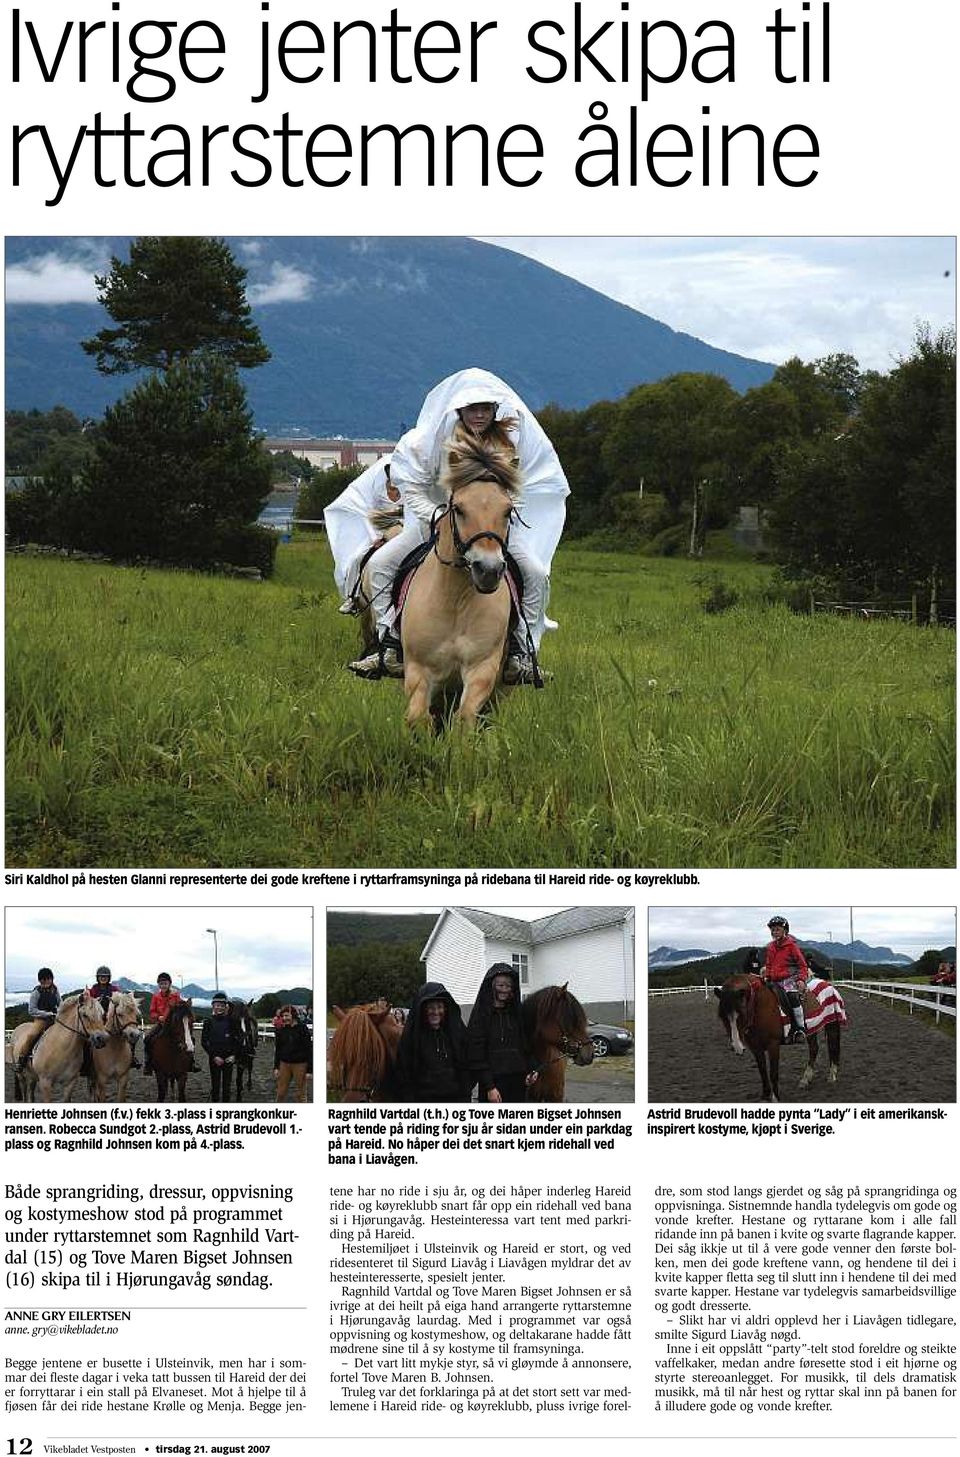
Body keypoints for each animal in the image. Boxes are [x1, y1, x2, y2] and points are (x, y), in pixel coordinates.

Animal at [399, 431, 521, 728]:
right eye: (459, 509)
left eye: (508, 511)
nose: (488, 570)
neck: (456, 601)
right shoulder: (418, 670)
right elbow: (419, 716)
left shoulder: (482, 668)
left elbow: (464, 717)